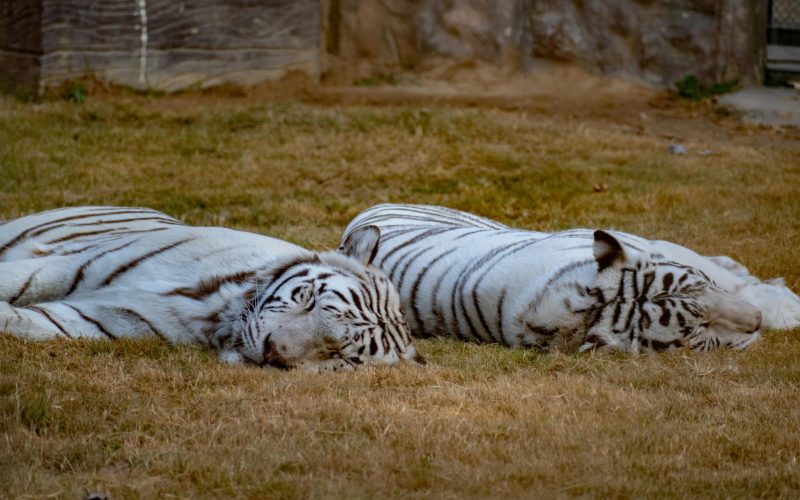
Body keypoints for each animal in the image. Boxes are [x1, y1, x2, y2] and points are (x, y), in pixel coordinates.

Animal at [0, 206, 424, 372]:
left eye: (339, 354)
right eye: (308, 299)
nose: (271, 352)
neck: (215, 311)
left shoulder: (99, 319)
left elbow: (29, 321)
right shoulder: (69, 265)